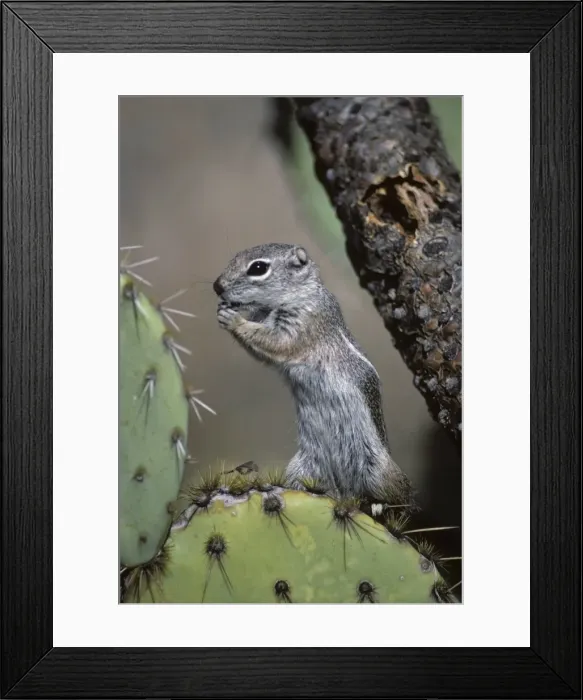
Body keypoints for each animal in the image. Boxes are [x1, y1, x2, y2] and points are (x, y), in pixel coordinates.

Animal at [213, 243, 414, 505]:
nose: (217, 286)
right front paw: (222, 313)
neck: (300, 292)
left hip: (380, 472)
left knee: (401, 495)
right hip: (304, 466)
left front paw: (235, 320)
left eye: (258, 268)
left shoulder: (304, 320)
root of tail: (347, 491)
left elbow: (277, 342)